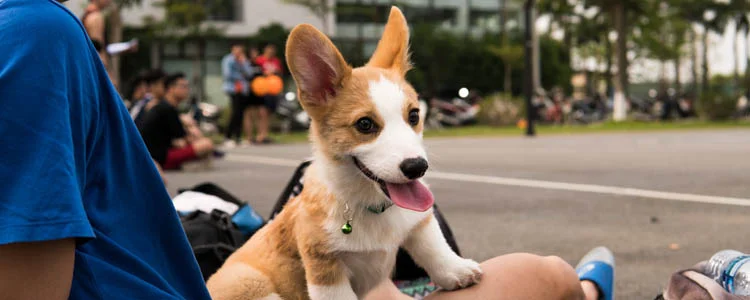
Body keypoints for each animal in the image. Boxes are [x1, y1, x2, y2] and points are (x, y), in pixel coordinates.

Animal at [207, 6, 482, 300]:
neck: (371, 205)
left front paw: (456, 270)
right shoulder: (325, 267)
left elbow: (432, 244)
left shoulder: (418, 221)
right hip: (252, 283)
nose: (417, 167)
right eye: (365, 124)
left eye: (414, 116)